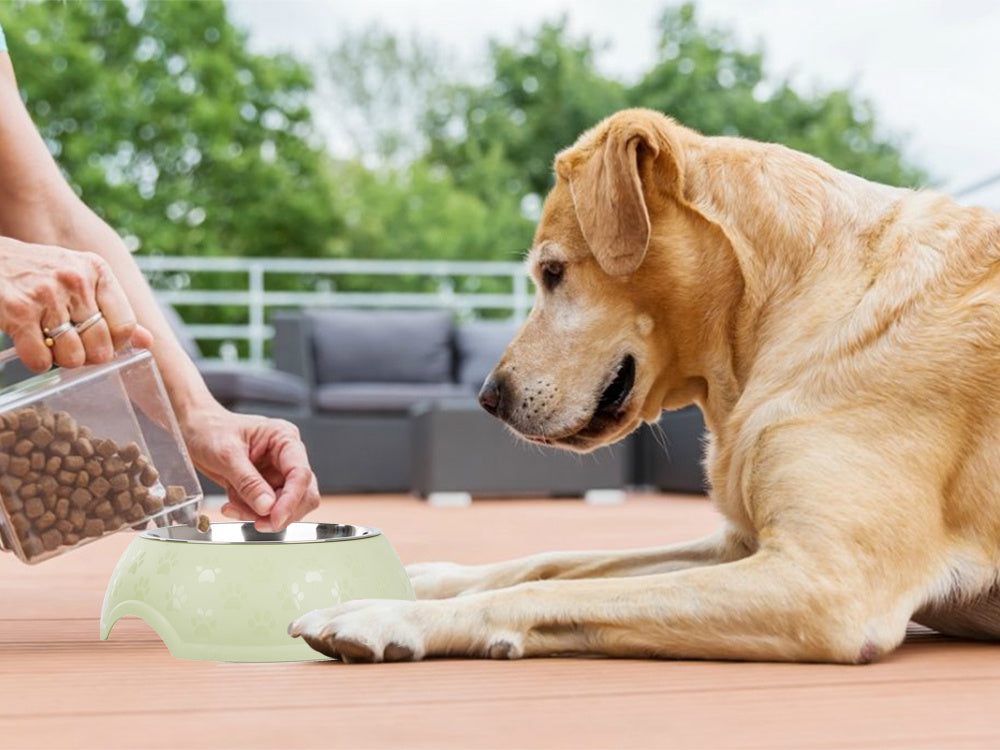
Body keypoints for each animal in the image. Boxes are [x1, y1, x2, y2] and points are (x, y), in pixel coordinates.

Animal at [290, 110, 1000, 664]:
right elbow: (556, 559)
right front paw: (434, 578)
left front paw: (388, 615)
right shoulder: (741, 544)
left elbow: (551, 589)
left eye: (552, 273)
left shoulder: (825, 583)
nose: (488, 398)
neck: (783, 305)